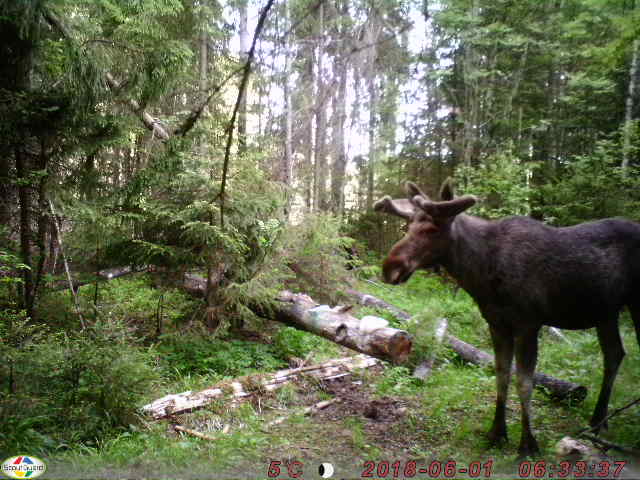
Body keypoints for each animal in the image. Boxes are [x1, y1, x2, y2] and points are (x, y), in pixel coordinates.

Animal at [374, 179, 640, 457]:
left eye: (433, 228)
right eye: (408, 226)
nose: (390, 267)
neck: (482, 274)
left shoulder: (528, 324)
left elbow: (524, 383)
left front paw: (528, 443)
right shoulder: (497, 324)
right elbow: (501, 375)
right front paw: (497, 432)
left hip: (632, 303)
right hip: (606, 312)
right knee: (614, 354)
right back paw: (598, 422)